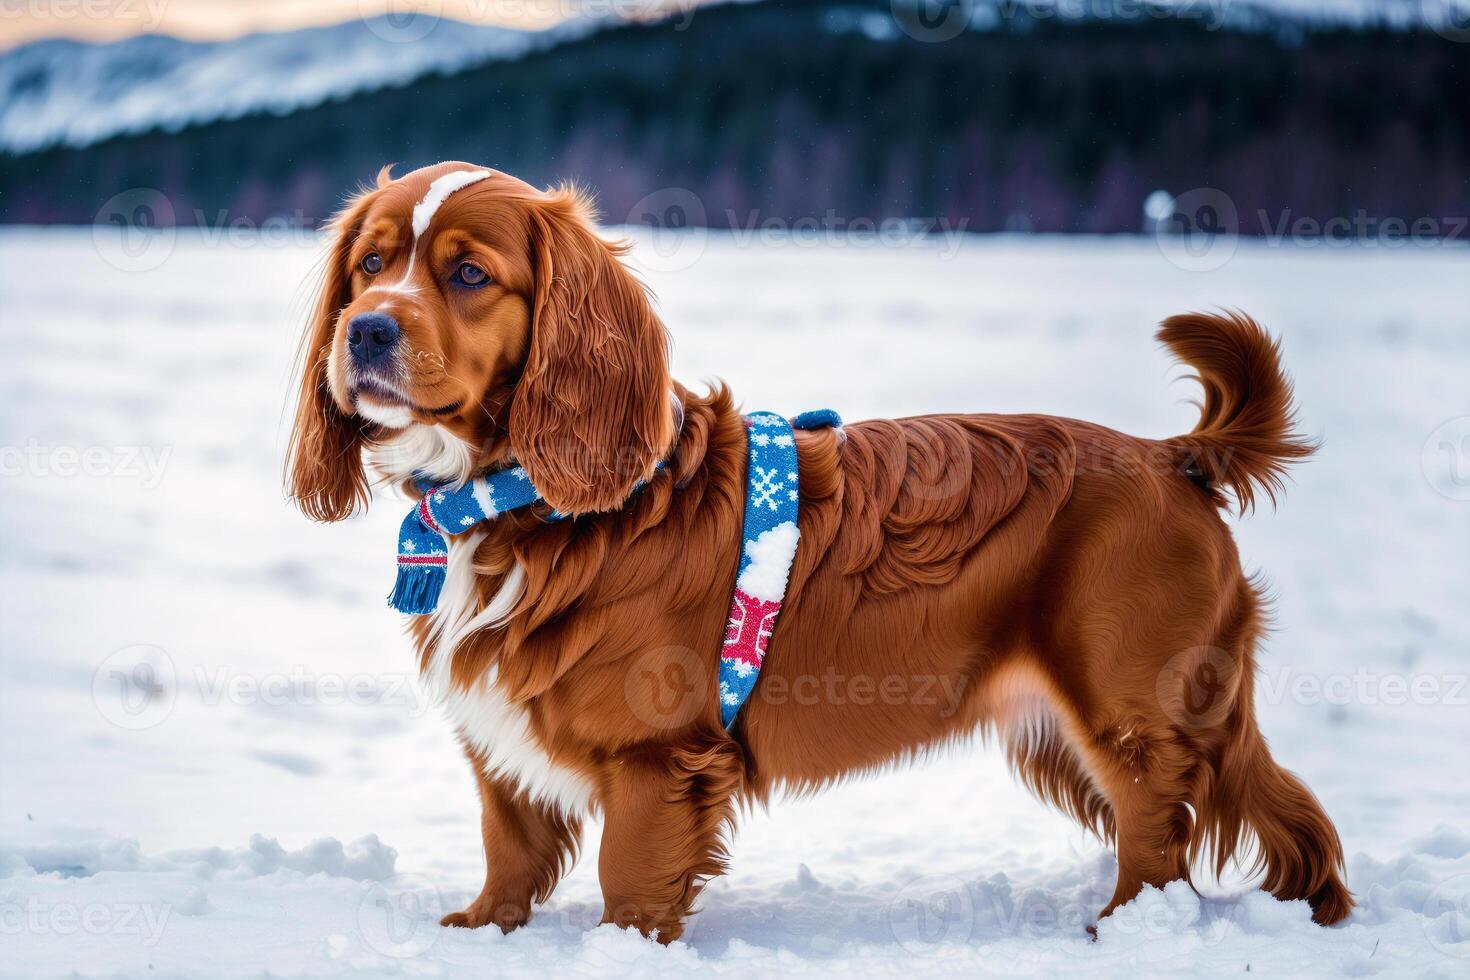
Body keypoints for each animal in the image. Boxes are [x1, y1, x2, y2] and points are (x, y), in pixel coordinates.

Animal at [286, 160, 1352, 940]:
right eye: (369, 265)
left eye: (469, 274)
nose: (366, 330)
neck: (522, 500)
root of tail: (1175, 456)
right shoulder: (506, 737)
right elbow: (507, 842)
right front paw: (481, 933)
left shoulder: (655, 756)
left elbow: (630, 877)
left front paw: (620, 951)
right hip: (1095, 723)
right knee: (1274, 807)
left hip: (1131, 711)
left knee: (1158, 827)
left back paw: (1128, 931)